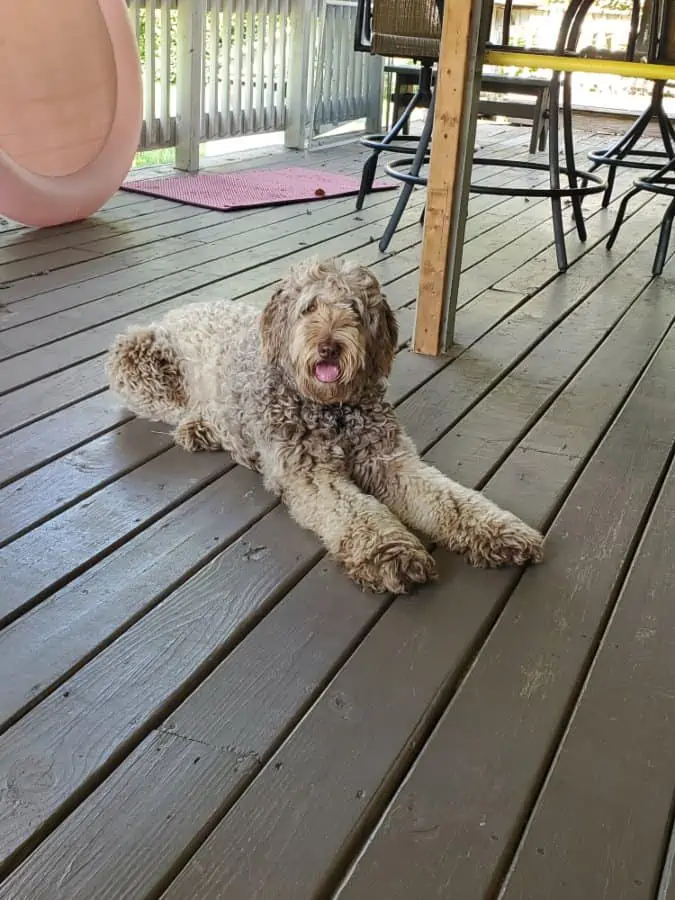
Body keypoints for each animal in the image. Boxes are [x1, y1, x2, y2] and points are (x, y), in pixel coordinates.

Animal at [109, 255, 544, 592]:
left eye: (354, 308)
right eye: (309, 308)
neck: (332, 410)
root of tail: (177, 310)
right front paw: (392, 554)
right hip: (136, 358)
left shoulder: (391, 459)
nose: (329, 347)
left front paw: (497, 531)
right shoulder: (312, 474)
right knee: (175, 409)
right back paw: (200, 427)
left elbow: (448, 499)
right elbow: (358, 514)